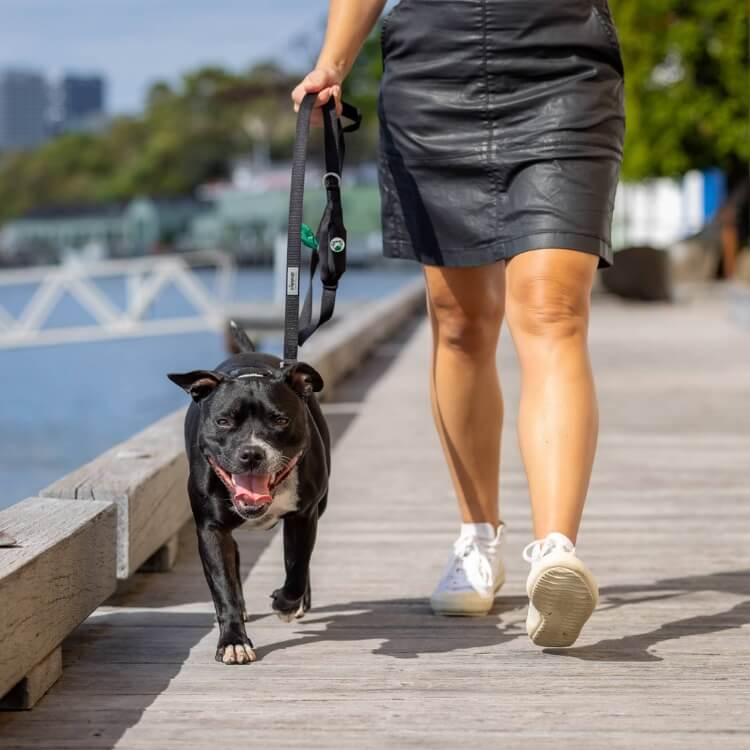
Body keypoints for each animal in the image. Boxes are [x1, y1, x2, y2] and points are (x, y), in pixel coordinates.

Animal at [169, 326, 330, 668]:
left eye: (281, 420)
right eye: (223, 421)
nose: (252, 453)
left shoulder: (304, 515)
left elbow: (297, 566)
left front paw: (286, 603)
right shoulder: (211, 529)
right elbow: (224, 586)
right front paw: (233, 641)